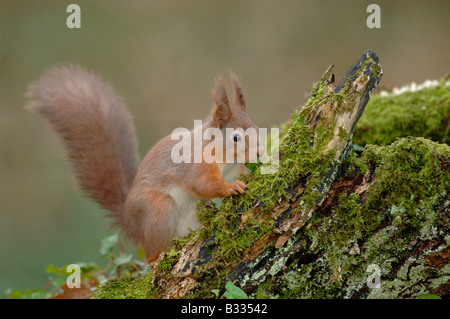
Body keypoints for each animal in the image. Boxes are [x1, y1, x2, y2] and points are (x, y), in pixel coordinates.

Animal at [26, 65, 264, 262]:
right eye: (236, 138)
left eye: (257, 127)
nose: (260, 152)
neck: (226, 157)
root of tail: (131, 222)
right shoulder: (195, 163)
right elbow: (203, 184)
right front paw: (230, 188)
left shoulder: (232, 168)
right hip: (157, 210)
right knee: (151, 253)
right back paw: (157, 260)